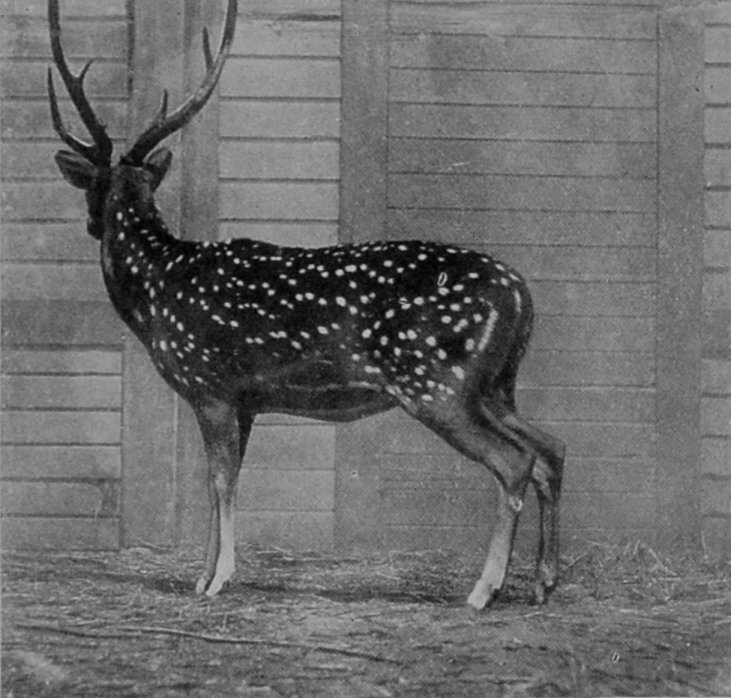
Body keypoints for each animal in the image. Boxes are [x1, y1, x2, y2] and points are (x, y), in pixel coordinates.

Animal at [47, 0, 565, 610]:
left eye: (93, 187)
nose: (88, 223)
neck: (157, 293)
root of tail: (521, 295)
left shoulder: (211, 385)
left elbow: (219, 481)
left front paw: (217, 579)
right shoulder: (246, 401)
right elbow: (225, 480)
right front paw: (202, 575)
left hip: (439, 385)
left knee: (515, 461)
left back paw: (484, 589)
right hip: (495, 385)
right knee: (552, 447)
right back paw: (544, 582)